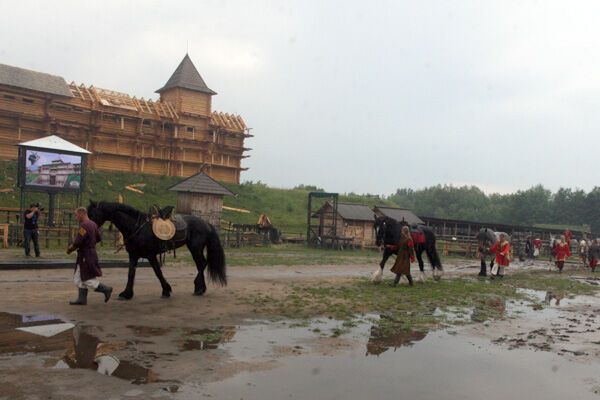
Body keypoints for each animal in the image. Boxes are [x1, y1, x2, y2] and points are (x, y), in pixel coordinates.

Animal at [89, 202, 227, 298]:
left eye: (92, 214)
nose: (88, 229)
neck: (136, 227)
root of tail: (207, 224)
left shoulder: (151, 255)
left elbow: (158, 272)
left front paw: (166, 290)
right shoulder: (133, 255)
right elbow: (131, 274)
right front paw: (127, 293)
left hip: (195, 249)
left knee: (202, 264)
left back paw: (198, 287)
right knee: (201, 265)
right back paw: (200, 289)